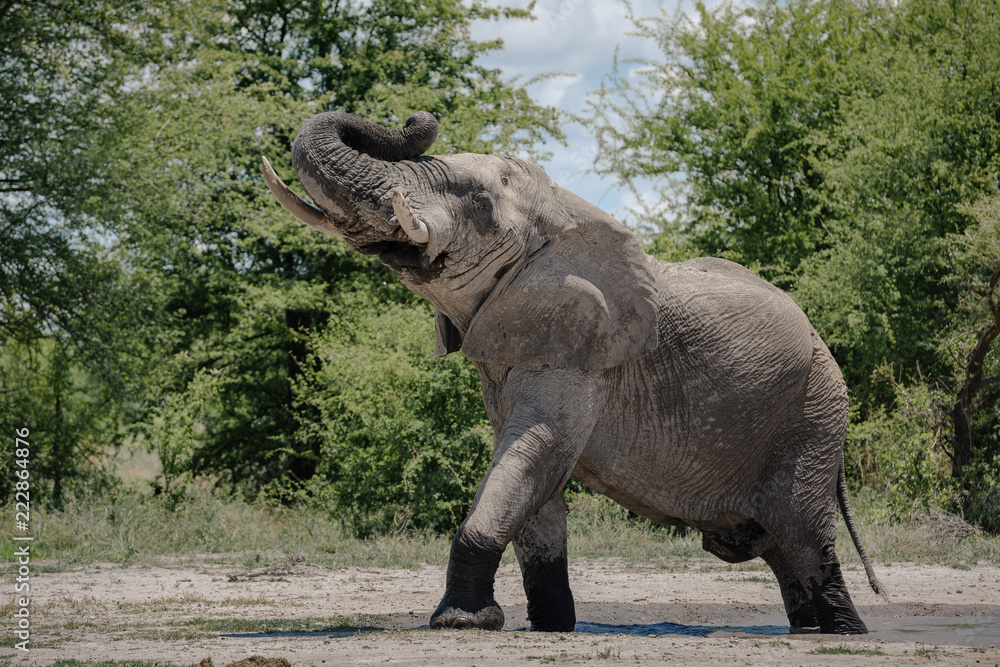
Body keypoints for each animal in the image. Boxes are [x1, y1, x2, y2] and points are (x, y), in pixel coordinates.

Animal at [261, 110, 887, 635]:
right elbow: (533, 480)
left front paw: (462, 623)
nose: (416, 118)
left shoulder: (583, 356)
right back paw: (808, 629)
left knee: (803, 531)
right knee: (782, 544)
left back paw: (845, 634)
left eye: (480, 204)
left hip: (813, 414)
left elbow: (534, 453)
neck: (562, 213)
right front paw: (550, 628)